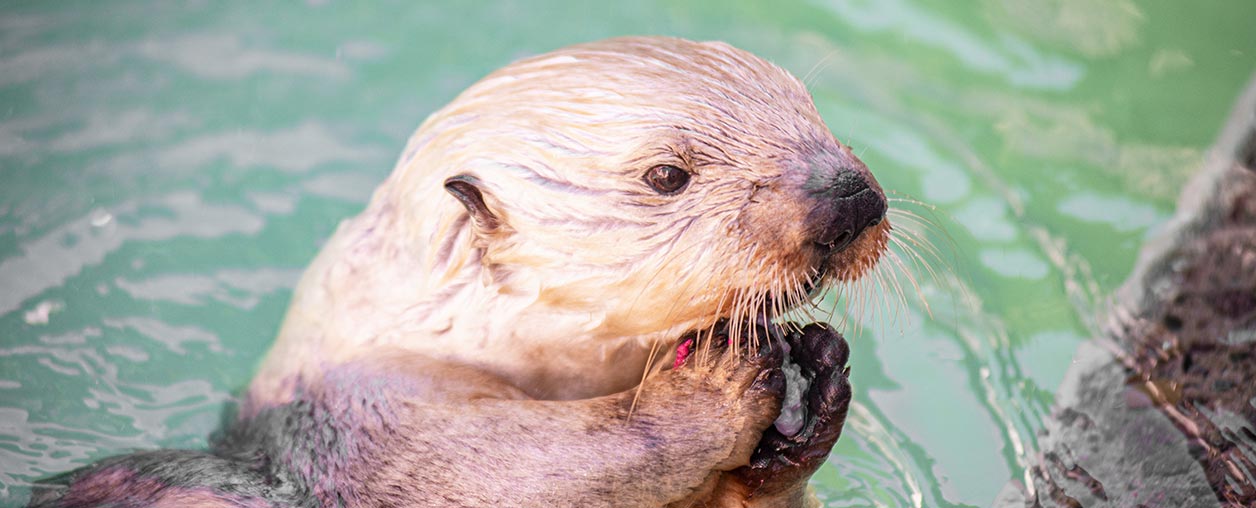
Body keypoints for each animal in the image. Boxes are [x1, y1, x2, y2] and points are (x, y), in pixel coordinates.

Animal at [31, 36, 890, 507]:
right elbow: (549, 466)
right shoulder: (392, 423)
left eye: (810, 108)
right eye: (667, 177)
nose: (851, 199)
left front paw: (818, 378)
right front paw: (715, 382)